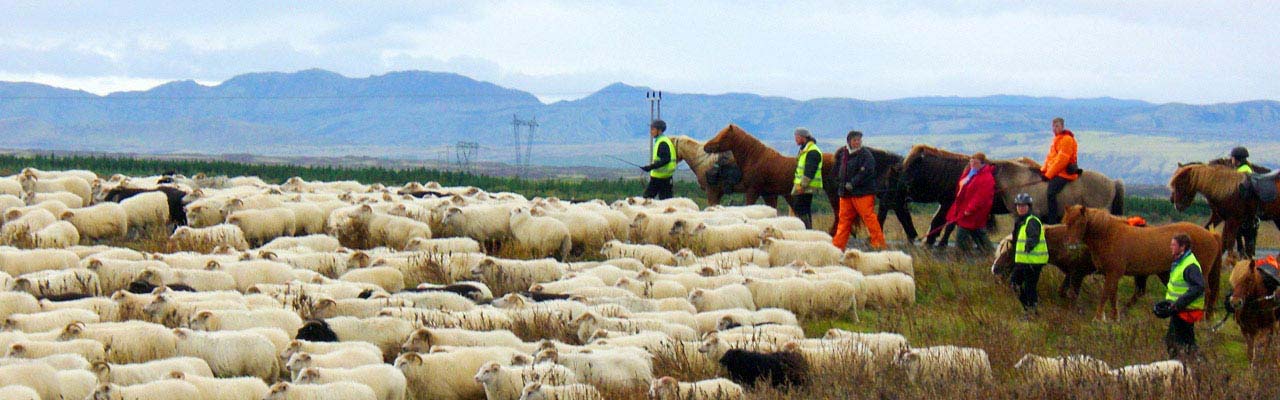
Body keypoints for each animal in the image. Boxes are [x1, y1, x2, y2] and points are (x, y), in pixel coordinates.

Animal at [701, 123, 839, 233]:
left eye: (724, 136)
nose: (706, 146)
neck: (755, 158)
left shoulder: (753, 191)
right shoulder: (768, 194)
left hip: (832, 194)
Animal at [1054, 205, 1223, 320]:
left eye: (1080, 223)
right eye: (1066, 222)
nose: (1070, 245)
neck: (1109, 234)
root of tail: (1212, 236)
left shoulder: (1112, 273)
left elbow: (1105, 294)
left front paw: (1098, 317)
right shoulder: (1113, 275)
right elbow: (1112, 295)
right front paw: (1114, 317)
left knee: (1205, 292)